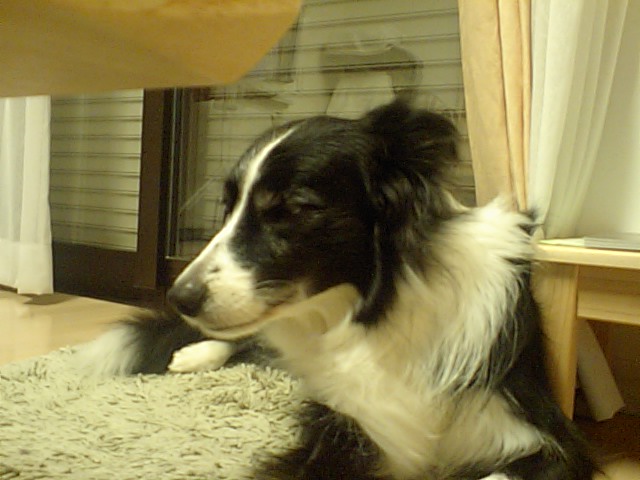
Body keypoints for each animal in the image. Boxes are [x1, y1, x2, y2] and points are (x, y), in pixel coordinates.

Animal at [78, 101, 596, 479]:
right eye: (228, 208)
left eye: (290, 209)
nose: (179, 297)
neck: (379, 308)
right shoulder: (345, 422)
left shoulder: (545, 437)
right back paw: (195, 354)